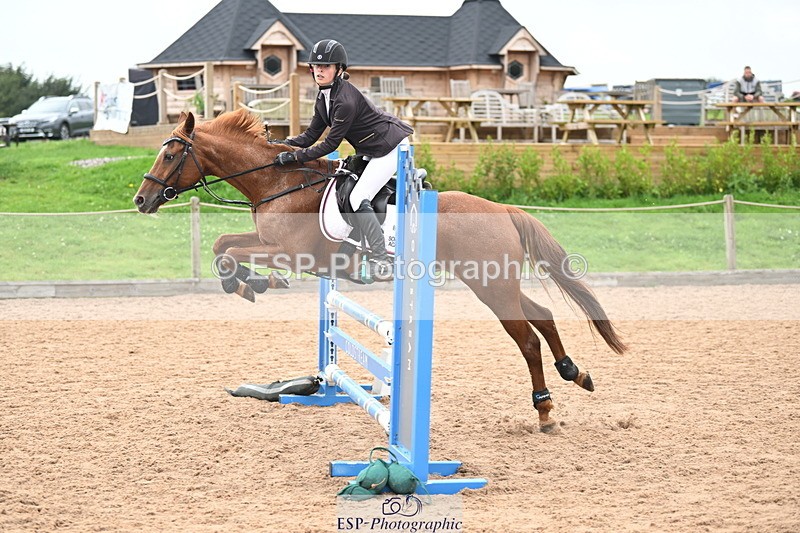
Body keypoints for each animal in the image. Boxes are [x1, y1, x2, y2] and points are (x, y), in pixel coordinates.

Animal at [133, 109, 627, 432]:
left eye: (171, 155)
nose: (141, 200)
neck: (278, 182)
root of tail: (502, 209)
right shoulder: (271, 244)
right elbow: (223, 245)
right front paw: (246, 282)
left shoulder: (291, 253)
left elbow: (230, 251)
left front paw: (252, 282)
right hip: (493, 281)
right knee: (542, 314)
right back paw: (575, 374)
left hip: (491, 287)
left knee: (526, 338)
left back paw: (544, 409)